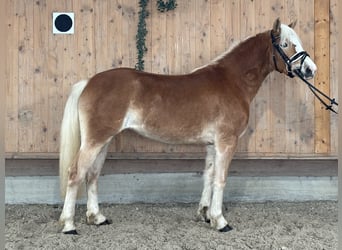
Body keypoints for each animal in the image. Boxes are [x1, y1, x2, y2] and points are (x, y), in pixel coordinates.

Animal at [59, 18, 318, 234]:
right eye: (285, 44)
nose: (311, 70)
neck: (232, 81)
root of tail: (89, 82)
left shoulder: (212, 144)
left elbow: (208, 176)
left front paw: (205, 214)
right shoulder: (227, 142)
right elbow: (221, 179)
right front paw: (220, 221)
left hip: (104, 141)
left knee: (92, 175)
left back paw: (97, 217)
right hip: (95, 141)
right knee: (76, 173)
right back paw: (69, 224)